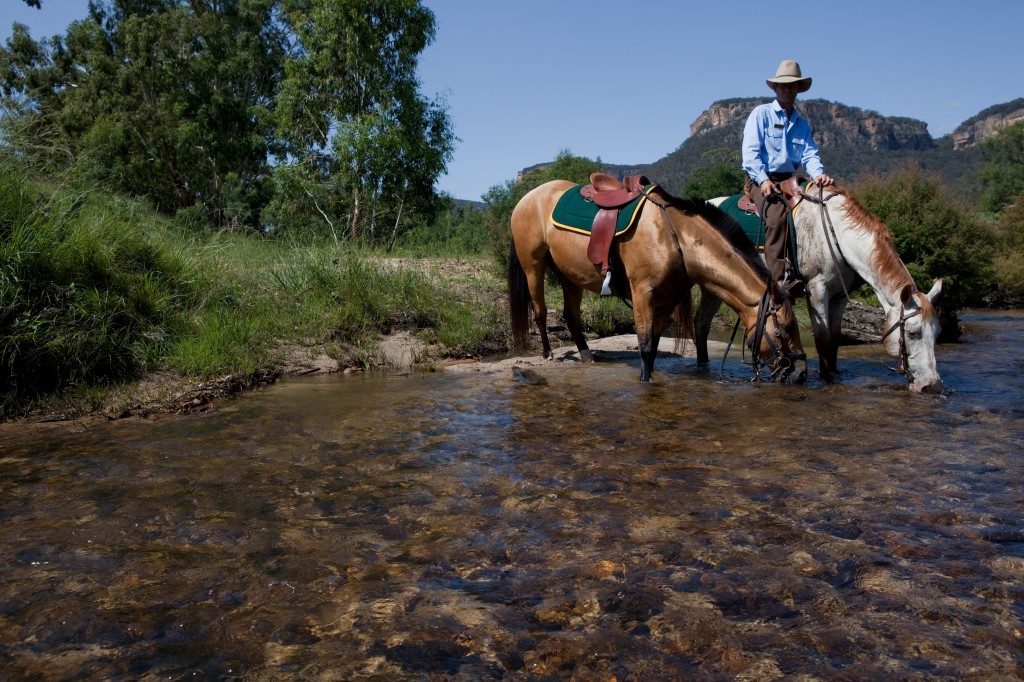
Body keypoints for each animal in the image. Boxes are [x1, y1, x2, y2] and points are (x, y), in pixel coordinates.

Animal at [507, 175, 802, 382]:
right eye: (786, 328)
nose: (801, 373)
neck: (675, 237)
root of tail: (526, 198)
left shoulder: (667, 299)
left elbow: (655, 344)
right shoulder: (643, 293)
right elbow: (646, 346)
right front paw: (644, 381)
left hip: (569, 276)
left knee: (571, 316)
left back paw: (587, 354)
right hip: (533, 266)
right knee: (540, 312)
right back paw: (548, 353)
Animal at [696, 182, 942, 393]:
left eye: (937, 333)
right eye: (912, 333)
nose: (932, 386)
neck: (836, 234)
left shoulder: (839, 296)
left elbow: (834, 339)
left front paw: (834, 373)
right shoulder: (817, 289)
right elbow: (823, 340)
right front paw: (825, 380)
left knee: (702, 324)